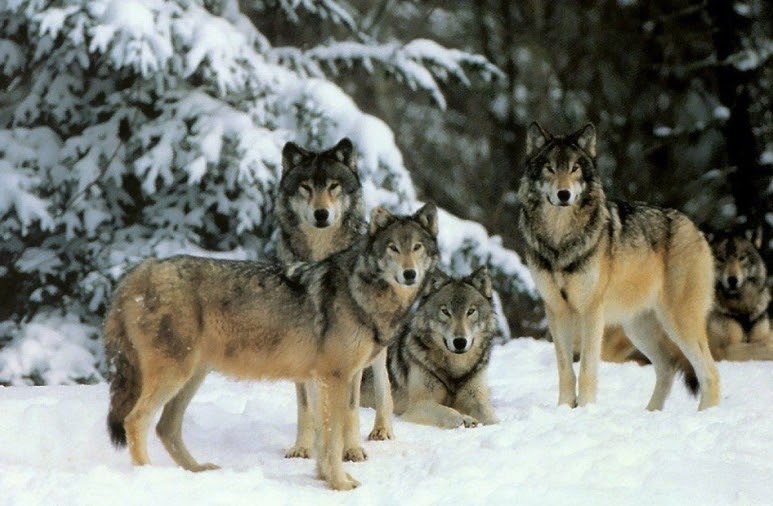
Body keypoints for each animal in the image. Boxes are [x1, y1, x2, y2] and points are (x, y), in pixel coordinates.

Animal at [104, 204, 439, 491]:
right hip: (174, 376)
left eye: (417, 248)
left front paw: (324, 477)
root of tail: (140, 271)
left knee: (166, 428)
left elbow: (323, 436)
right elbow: (332, 438)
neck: (361, 292)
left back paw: (197, 470)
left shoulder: (321, 380)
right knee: (136, 420)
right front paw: (339, 484)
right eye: (393, 248)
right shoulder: (335, 378)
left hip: (191, 378)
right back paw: (147, 476)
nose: (409, 274)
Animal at [274, 138, 391, 462]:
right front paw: (302, 446)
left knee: (384, 384)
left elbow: (351, 408)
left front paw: (351, 450)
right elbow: (306, 405)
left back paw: (382, 430)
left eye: (333, 186)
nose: (321, 213)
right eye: (306, 187)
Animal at [361, 267, 499, 428]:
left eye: (470, 311)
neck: (455, 370)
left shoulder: (476, 397)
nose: (459, 342)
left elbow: (490, 416)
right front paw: (465, 419)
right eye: (445, 311)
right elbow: (450, 412)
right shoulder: (417, 406)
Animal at [517, 122, 720, 411]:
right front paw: (565, 409)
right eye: (550, 168)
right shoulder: (556, 310)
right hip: (638, 328)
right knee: (668, 368)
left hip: (679, 322)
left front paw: (586, 410)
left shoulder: (591, 311)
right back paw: (650, 413)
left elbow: (587, 369)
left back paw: (704, 414)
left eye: (575, 168)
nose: (564, 194)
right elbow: (565, 371)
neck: (560, 240)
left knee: (710, 373)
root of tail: (694, 227)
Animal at [707, 228, 773, 361]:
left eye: (742, 258)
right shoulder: (721, 351)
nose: (732, 280)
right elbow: (758, 348)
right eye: (721, 259)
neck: (741, 307)